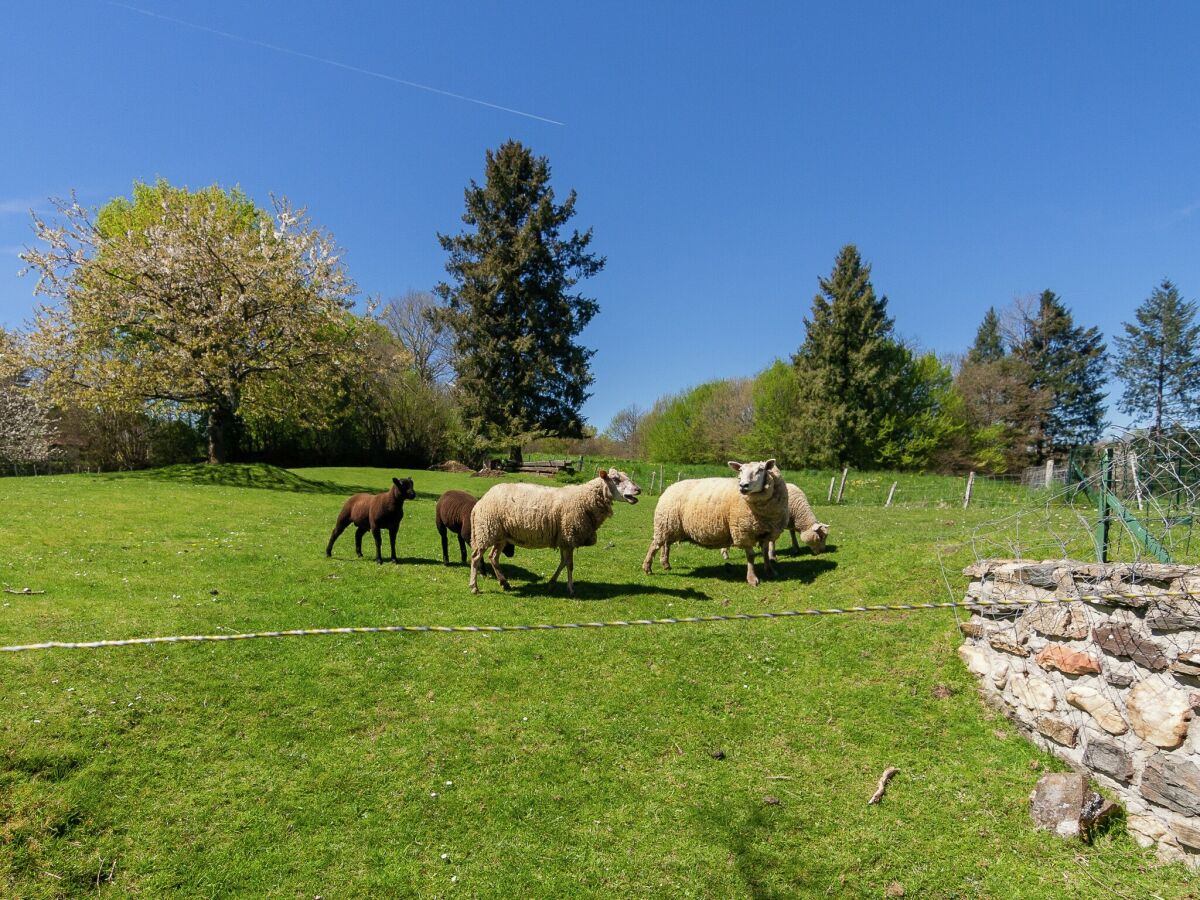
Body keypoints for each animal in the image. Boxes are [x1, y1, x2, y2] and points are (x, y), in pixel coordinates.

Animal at [468, 465, 643, 600]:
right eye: (616, 479)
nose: (638, 490)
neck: (585, 499)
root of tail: (481, 501)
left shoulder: (564, 539)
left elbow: (563, 562)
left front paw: (552, 584)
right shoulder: (569, 536)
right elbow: (570, 565)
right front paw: (571, 589)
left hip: (501, 535)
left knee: (493, 557)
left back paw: (505, 583)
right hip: (486, 531)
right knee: (476, 557)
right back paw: (474, 587)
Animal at [643, 460, 792, 588]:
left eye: (761, 470)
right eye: (740, 471)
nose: (743, 486)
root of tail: (670, 487)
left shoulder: (768, 532)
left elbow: (765, 552)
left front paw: (771, 571)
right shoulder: (743, 531)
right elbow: (751, 556)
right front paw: (752, 579)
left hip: (670, 526)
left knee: (666, 545)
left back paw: (665, 564)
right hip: (664, 524)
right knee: (655, 545)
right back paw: (647, 568)